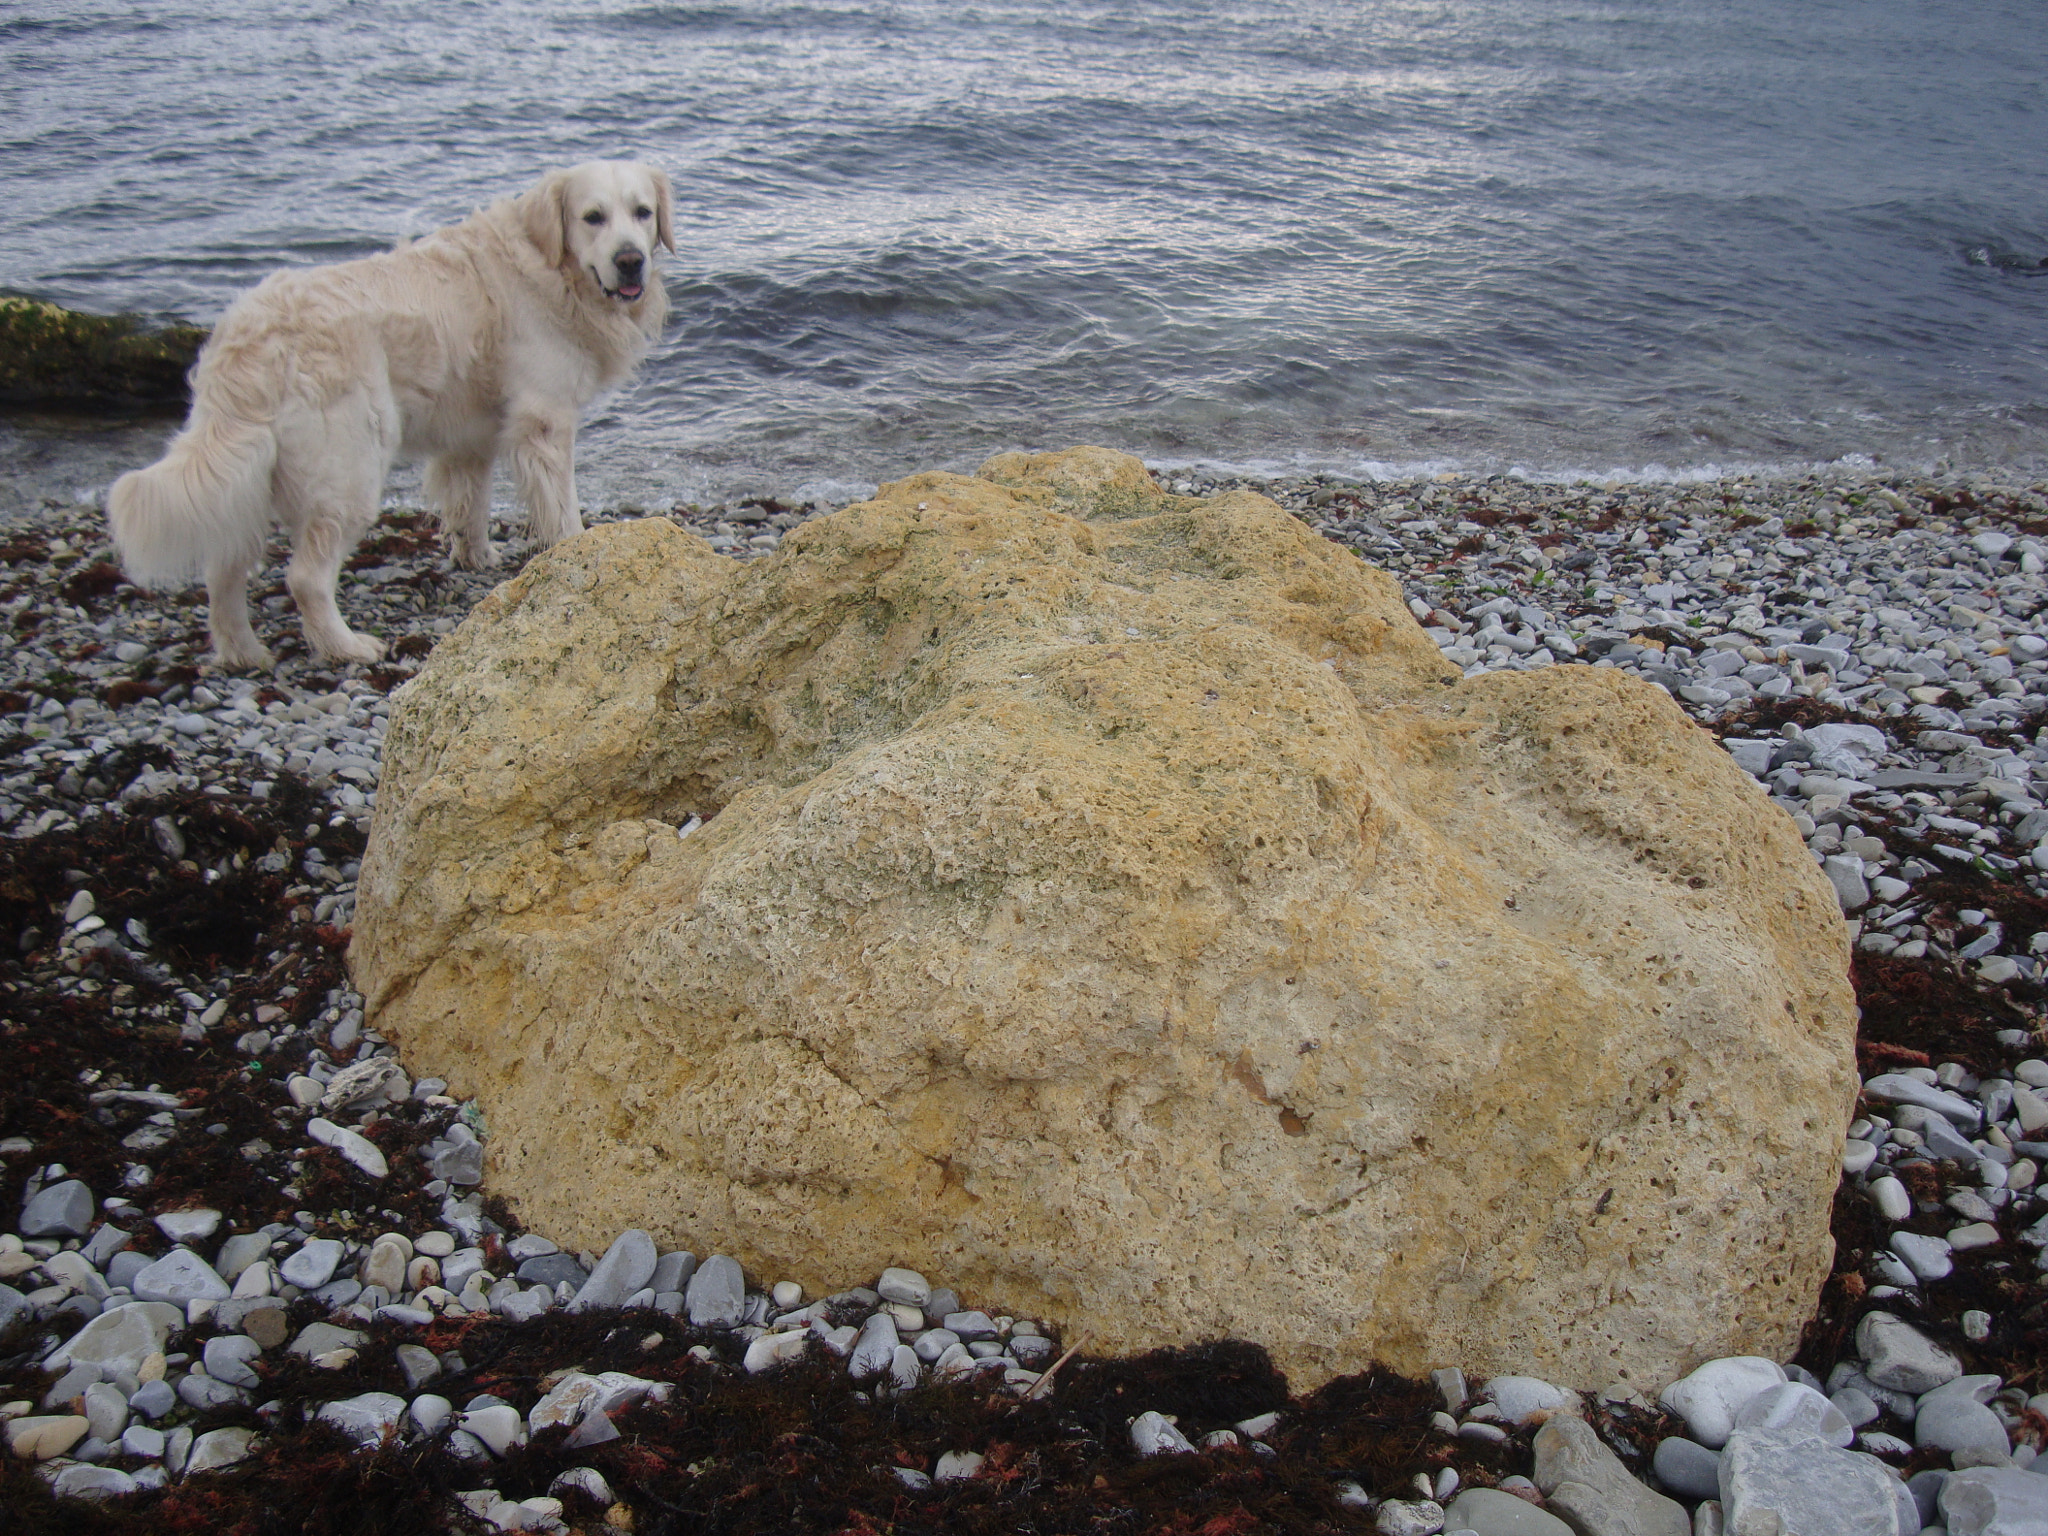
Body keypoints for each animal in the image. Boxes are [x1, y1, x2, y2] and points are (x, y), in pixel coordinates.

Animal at [110, 159, 671, 671]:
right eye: (593, 217)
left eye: (642, 212)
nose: (630, 261)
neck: (549, 268)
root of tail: (247, 337)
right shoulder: (546, 420)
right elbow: (562, 508)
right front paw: (581, 551)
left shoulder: (471, 435)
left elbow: (470, 503)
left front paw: (476, 556)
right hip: (350, 470)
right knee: (305, 578)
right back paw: (345, 647)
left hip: (249, 480)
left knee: (222, 571)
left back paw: (244, 653)